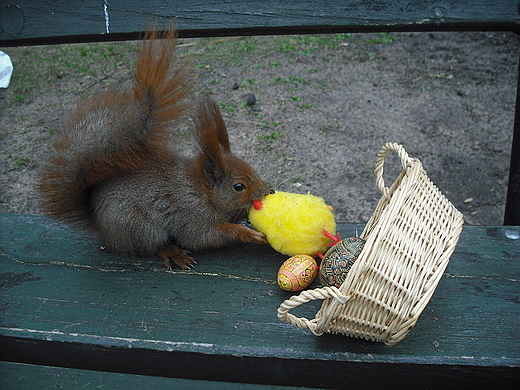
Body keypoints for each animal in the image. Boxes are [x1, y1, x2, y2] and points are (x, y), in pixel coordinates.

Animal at [37, 27, 272, 270]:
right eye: (238, 186)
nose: (269, 191)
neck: (202, 192)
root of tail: (102, 228)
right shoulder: (191, 215)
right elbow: (202, 237)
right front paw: (245, 233)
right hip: (138, 227)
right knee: (150, 248)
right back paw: (173, 253)